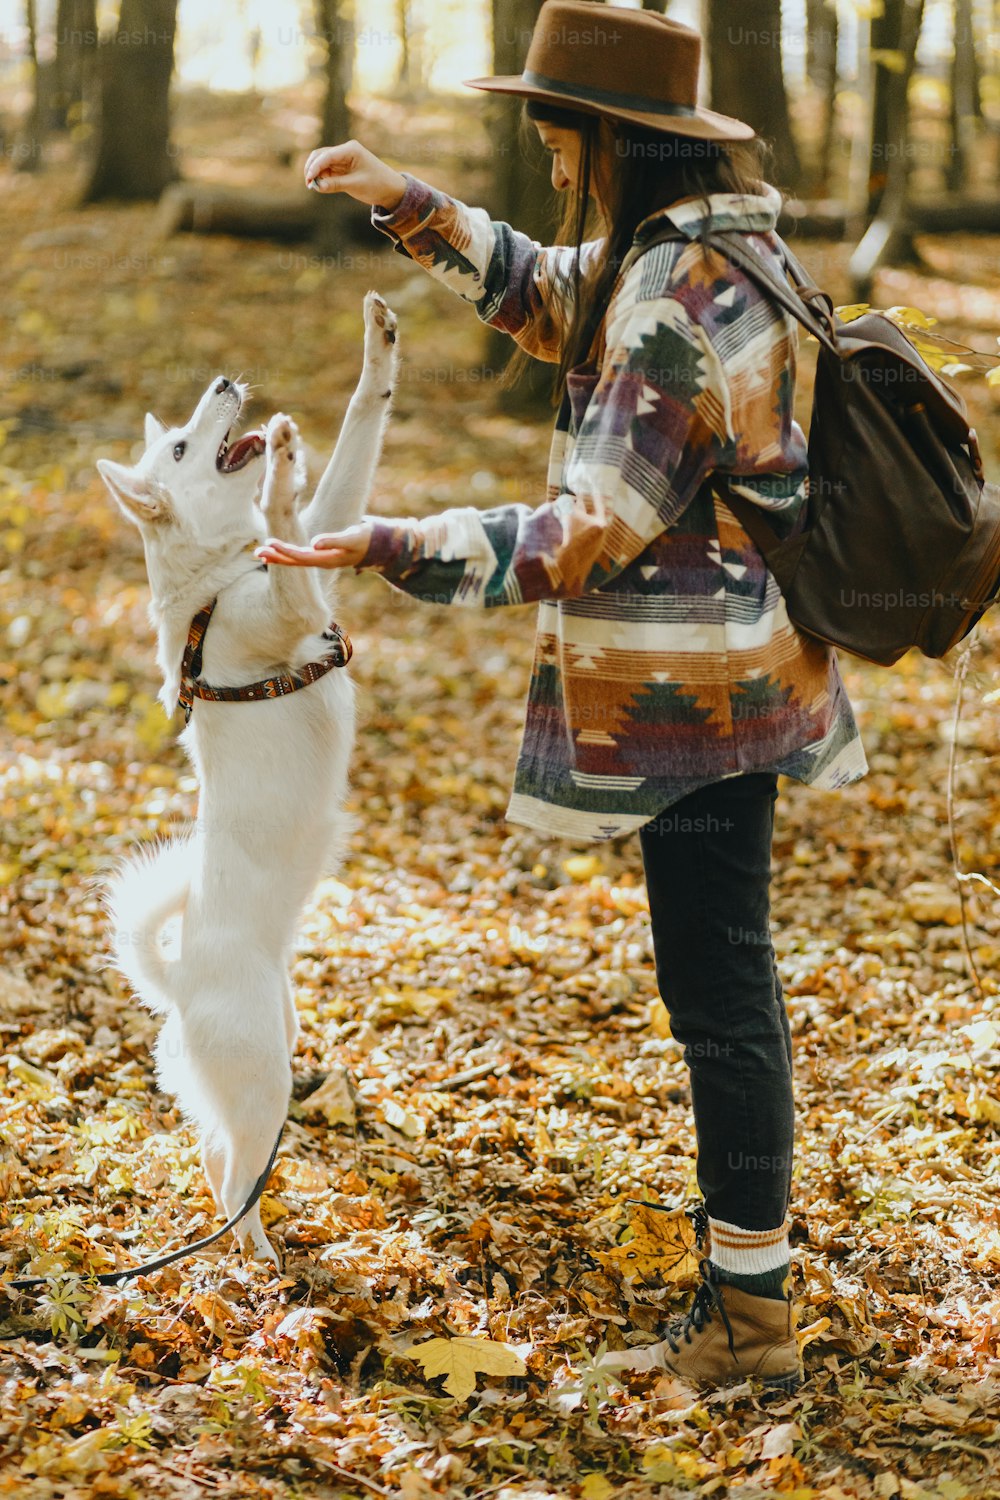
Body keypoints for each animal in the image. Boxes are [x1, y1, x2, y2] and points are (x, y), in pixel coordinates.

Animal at [97, 286, 398, 1260]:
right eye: (180, 449)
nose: (225, 383)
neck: (217, 580)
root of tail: (180, 988)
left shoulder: (319, 550)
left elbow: (347, 453)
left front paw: (377, 353)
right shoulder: (295, 599)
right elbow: (290, 512)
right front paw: (280, 471)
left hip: (273, 1062)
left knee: (213, 1156)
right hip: (266, 1078)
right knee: (232, 1180)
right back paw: (263, 1262)